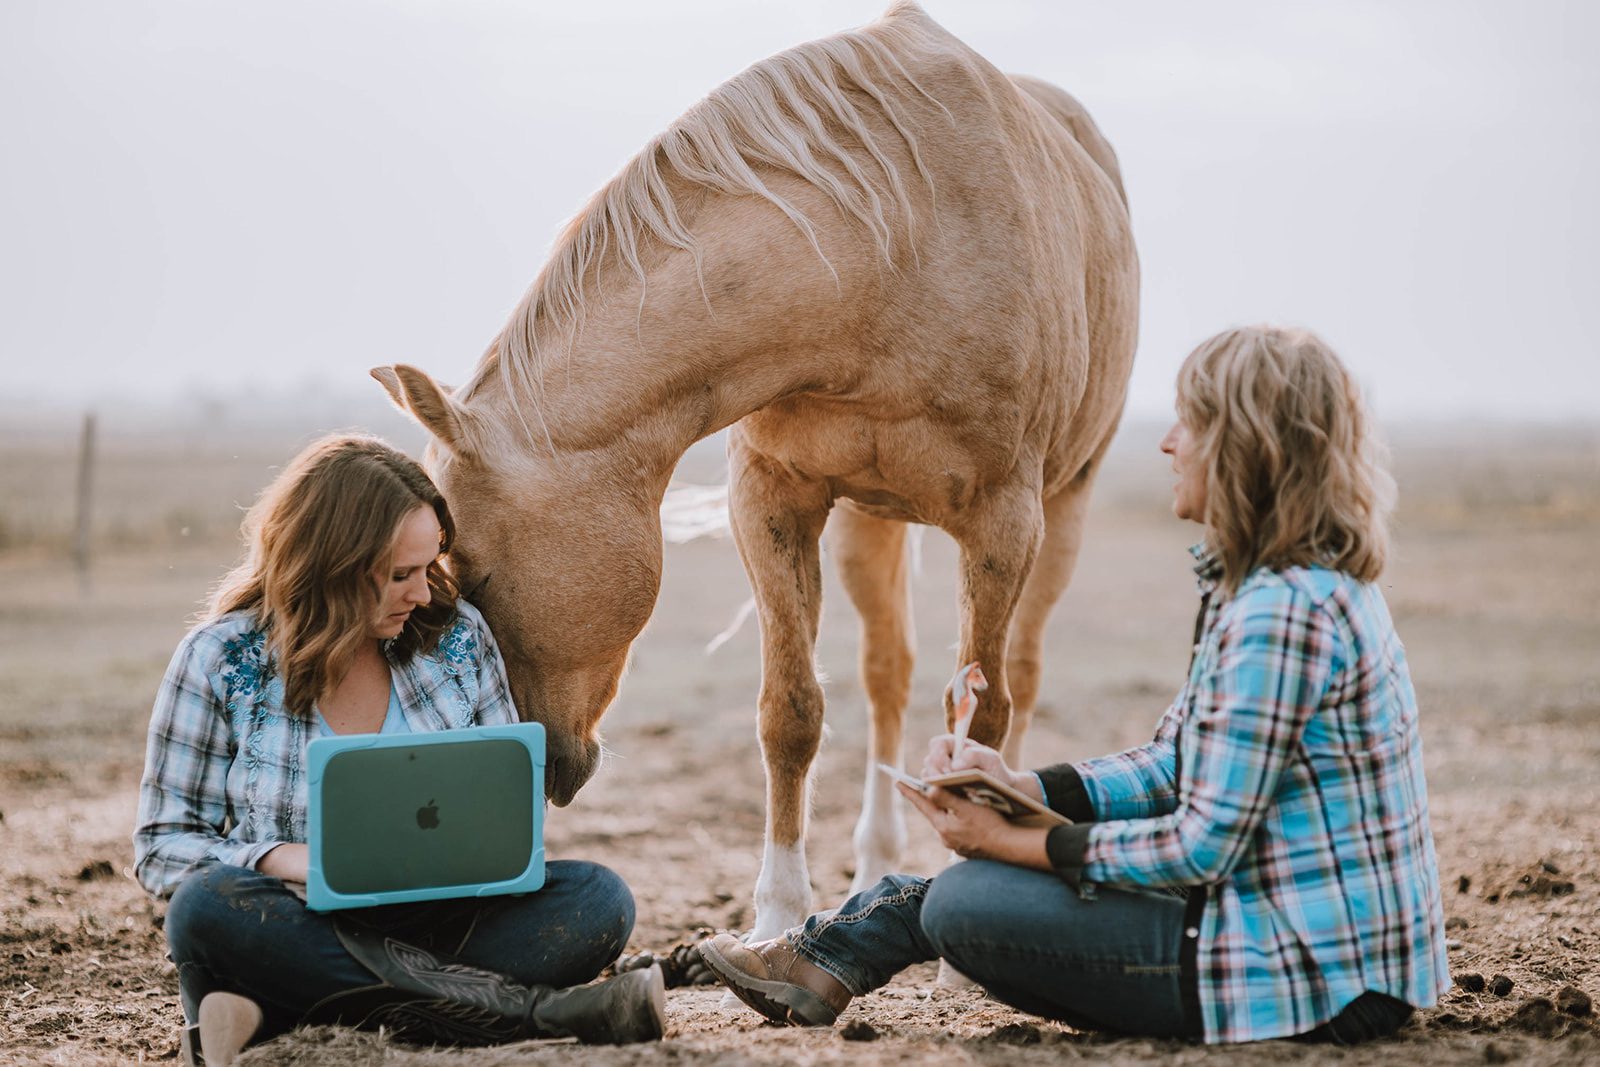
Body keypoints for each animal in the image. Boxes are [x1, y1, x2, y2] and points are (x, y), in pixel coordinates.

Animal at [374, 1, 1137, 941]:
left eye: (472, 572)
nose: (533, 774)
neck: (888, 256)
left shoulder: (1003, 523)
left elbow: (984, 722)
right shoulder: (773, 499)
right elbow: (791, 711)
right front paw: (775, 917)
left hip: (1064, 508)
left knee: (1020, 681)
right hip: (869, 520)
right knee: (887, 676)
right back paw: (872, 867)